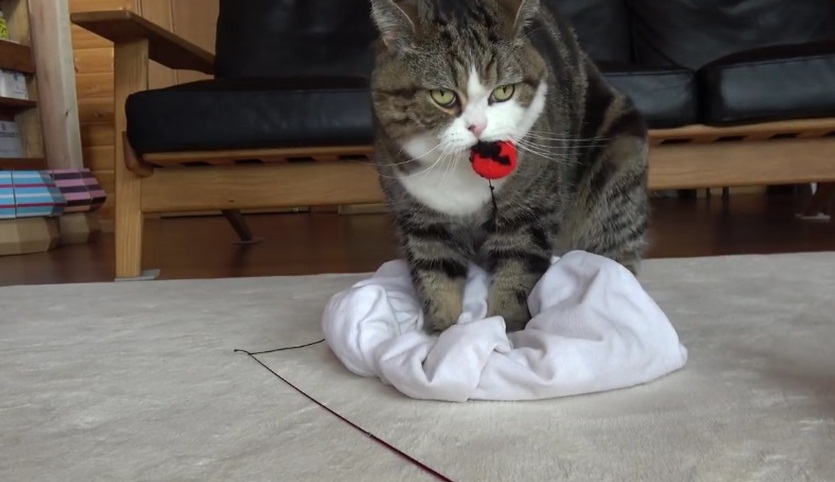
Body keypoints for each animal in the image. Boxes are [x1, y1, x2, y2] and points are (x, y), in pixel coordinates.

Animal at [370, 0, 648, 332]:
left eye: (503, 92)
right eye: (442, 95)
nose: (478, 127)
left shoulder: (528, 211)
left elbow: (517, 269)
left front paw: (506, 329)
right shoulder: (420, 219)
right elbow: (435, 274)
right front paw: (442, 333)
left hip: (617, 157)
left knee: (614, 247)